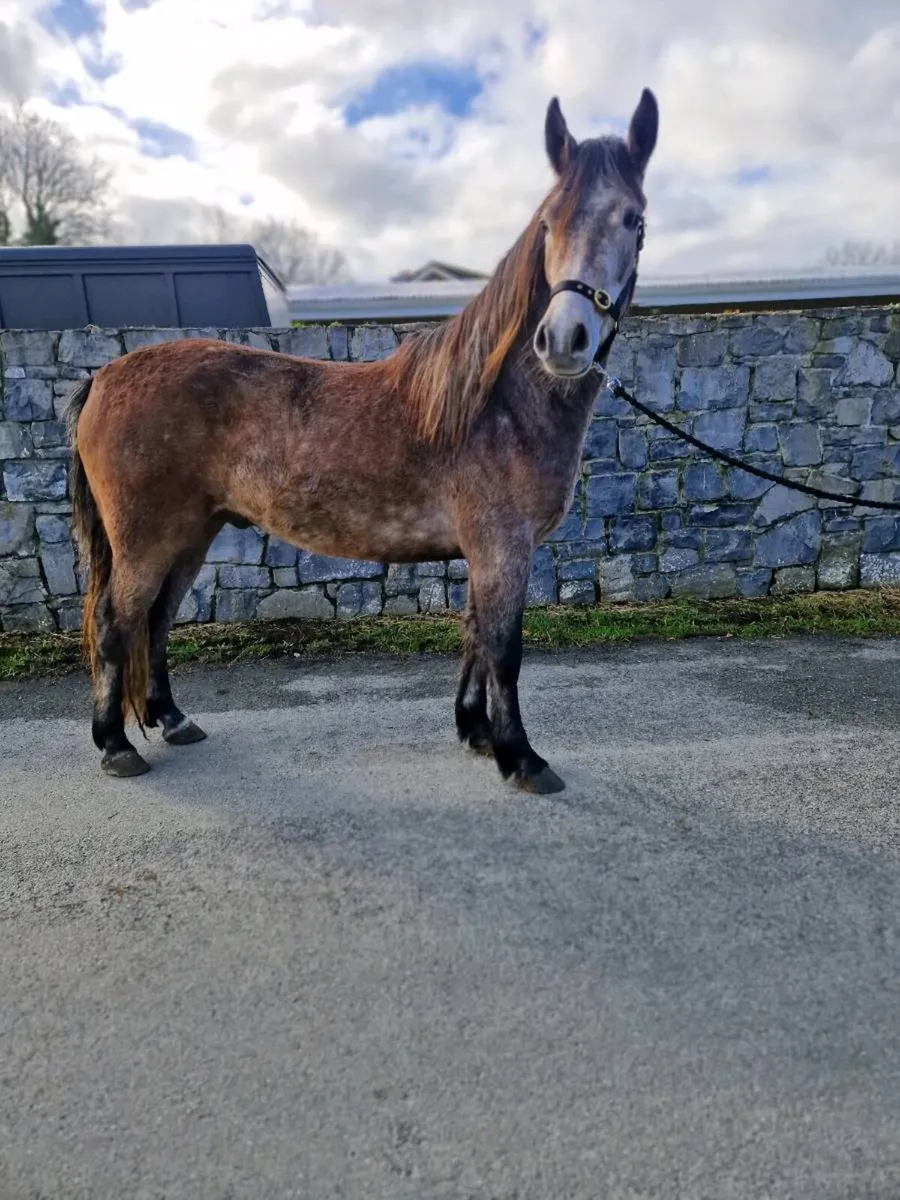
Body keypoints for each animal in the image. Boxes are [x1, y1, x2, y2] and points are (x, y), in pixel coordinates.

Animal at [65, 87, 659, 792]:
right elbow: (503, 649)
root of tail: (105, 375)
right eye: (547, 224)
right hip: (147, 539)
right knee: (115, 623)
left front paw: (476, 733)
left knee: (155, 620)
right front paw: (521, 758)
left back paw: (173, 719)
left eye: (633, 219)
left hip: (191, 534)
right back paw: (114, 745)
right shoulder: (502, 548)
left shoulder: (486, 552)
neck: (496, 403)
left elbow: (474, 636)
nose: (564, 340)